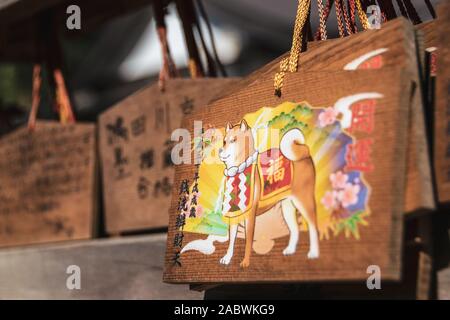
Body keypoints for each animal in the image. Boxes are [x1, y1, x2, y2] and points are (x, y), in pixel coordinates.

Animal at [219, 120, 320, 268]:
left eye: (234, 140)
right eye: (224, 141)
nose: (220, 151)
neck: (238, 171)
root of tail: (304, 152)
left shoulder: (250, 216)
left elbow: (248, 241)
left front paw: (245, 262)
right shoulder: (235, 214)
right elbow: (231, 240)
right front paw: (227, 258)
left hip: (303, 200)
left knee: (312, 225)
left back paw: (313, 252)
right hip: (287, 206)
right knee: (295, 229)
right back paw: (290, 250)